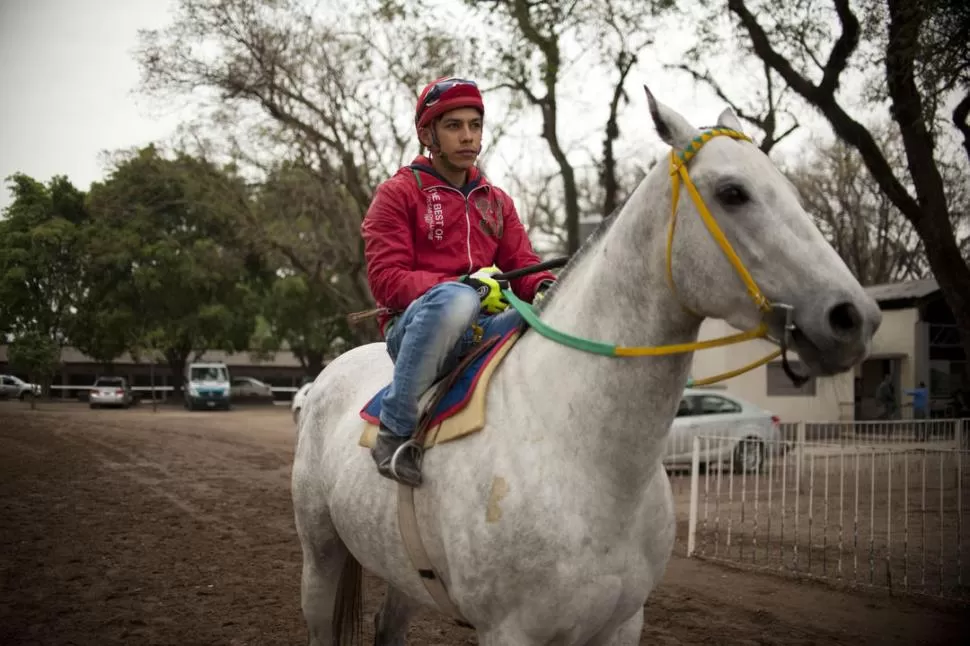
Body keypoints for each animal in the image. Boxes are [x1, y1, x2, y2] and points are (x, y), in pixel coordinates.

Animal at [292, 87, 880, 646]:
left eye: (794, 193)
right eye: (732, 192)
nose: (854, 317)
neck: (586, 457)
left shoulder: (621, 624)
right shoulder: (510, 631)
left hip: (404, 574)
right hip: (320, 553)